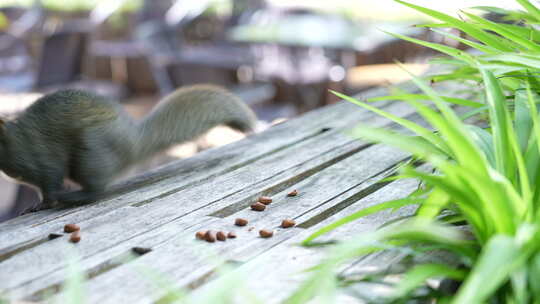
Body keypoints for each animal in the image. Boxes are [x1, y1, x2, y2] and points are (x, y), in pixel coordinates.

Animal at [0, 84, 258, 215]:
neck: (16, 140)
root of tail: (133, 142)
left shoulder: (42, 157)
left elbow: (50, 182)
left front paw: (45, 203)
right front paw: (38, 204)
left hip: (91, 153)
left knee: (96, 190)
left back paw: (74, 196)